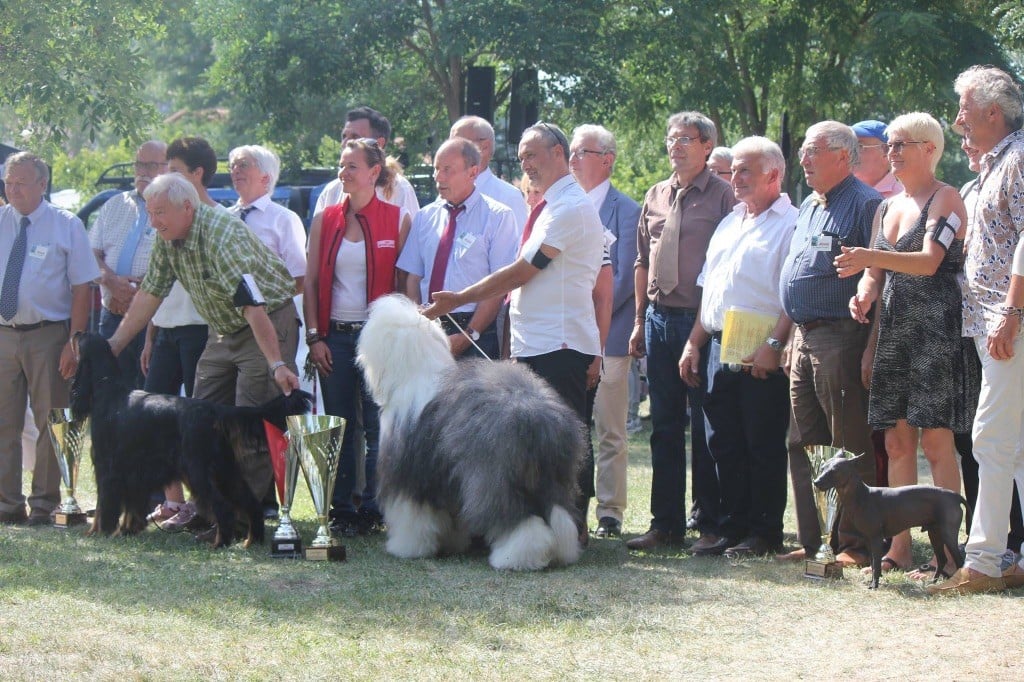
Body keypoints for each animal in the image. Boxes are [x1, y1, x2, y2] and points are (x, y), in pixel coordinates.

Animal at [69, 329, 309, 548]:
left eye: (82, 338)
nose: (76, 332)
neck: (108, 389)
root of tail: (214, 410)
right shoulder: (133, 471)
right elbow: (131, 506)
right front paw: (126, 530)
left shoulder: (108, 468)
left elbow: (103, 506)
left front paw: (97, 532)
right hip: (225, 470)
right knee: (249, 502)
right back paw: (252, 540)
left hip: (197, 470)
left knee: (223, 507)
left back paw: (220, 542)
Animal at [358, 292, 585, 569]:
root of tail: (535, 416)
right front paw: (453, 543)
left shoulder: (410, 472)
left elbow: (412, 515)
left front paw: (406, 547)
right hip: (551, 475)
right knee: (559, 515)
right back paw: (562, 552)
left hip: (492, 477)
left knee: (518, 521)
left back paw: (515, 558)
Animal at [811, 450, 962, 585]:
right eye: (823, 468)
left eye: (835, 470)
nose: (816, 482)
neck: (862, 496)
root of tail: (954, 496)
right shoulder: (868, 539)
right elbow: (873, 563)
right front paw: (873, 581)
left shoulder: (876, 538)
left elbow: (877, 564)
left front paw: (874, 585)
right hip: (935, 534)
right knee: (942, 559)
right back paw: (933, 582)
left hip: (948, 534)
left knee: (959, 561)